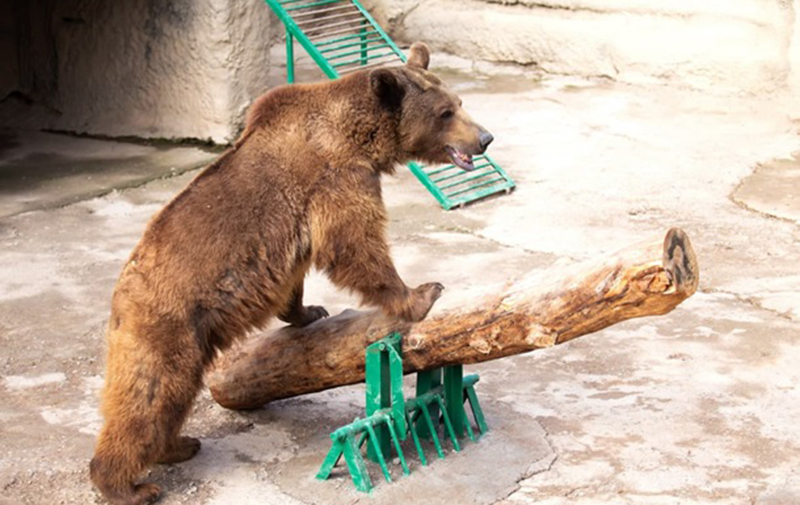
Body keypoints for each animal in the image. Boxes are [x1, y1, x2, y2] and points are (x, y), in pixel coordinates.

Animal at [89, 41, 494, 505]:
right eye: (445, 112)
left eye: (459, 102)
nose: (485, 138)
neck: (359, 137)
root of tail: (120, 293)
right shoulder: (337, 179)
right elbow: (355, 244)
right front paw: (422, 292)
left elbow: (299, 277)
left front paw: (310, 311)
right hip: (168, 323)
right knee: (150, 393)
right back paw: (129, 484)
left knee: (172, 397)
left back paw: (178, 445)